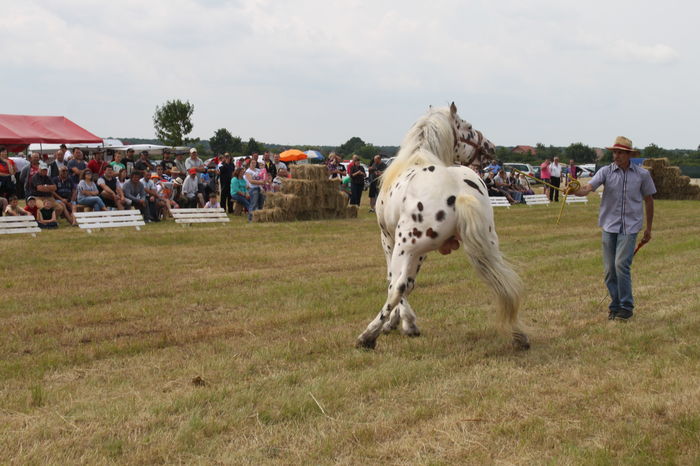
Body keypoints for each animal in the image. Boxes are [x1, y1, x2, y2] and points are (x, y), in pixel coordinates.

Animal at [355, 103, 530, 351]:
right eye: (469, 127)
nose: (491, 147)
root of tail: (460, 192)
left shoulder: (389, 240)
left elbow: (394, 282)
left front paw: (400, 324)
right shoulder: (420, 253)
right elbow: (410, 283)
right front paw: (402, 323)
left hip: (404, 246)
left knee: (397, 286)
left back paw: (368, 335)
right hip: (488, 243)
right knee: (504, 280)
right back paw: (518, 335)